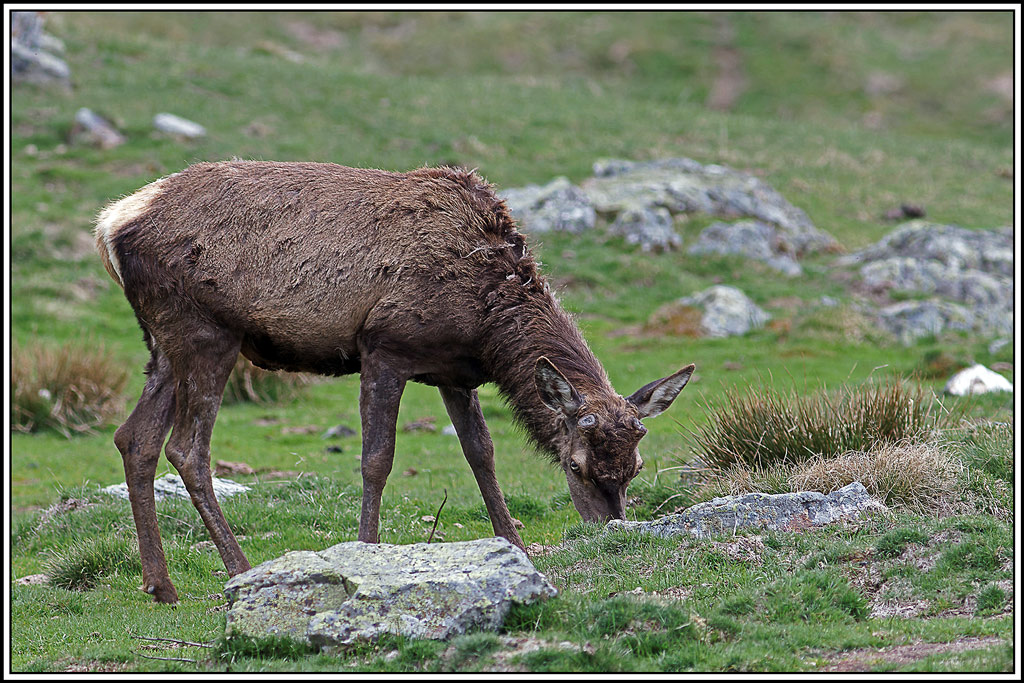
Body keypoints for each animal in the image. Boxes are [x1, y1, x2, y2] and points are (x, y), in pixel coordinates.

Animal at [95, 161, 695, 603]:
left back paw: (161, 585)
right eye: (574, 465)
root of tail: (110, 225)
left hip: (163, 344)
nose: (610, 530)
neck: (486, 323)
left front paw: (516, 547)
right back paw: (240, 570)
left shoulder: (455, 373)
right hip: (206, 332)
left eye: (635, 468)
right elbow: (376, 459)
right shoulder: (385, 348)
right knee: (186, 448)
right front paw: (365, 552)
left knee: (135, 438)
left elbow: (482, 453)